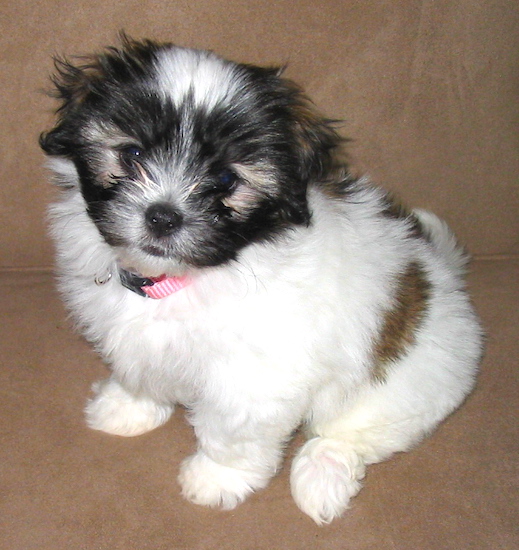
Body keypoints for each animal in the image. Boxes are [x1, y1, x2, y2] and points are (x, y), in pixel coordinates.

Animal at [39, 36, 484, 528]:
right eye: (132, 154)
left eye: (225, 179)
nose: (163, 216)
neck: (182, 278)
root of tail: (442, 275)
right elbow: (139, 370)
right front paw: (126, 406)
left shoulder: (254, 380)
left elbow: (231, 432)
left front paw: (216, 478)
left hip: (407, 384)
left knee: (351, 430)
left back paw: (321, 475)